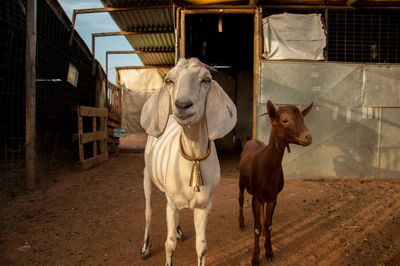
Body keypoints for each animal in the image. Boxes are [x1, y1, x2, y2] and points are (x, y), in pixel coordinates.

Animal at [139, 58, 236, 266]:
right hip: (147, 176)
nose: (182, 105)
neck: (194, 158)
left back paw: (178, 230)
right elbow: (169, 244)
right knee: (148, 211)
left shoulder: (204, 205)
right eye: (169, 80)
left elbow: (202, 247)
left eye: (206, 80)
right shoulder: (171, 204)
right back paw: (145, 247)